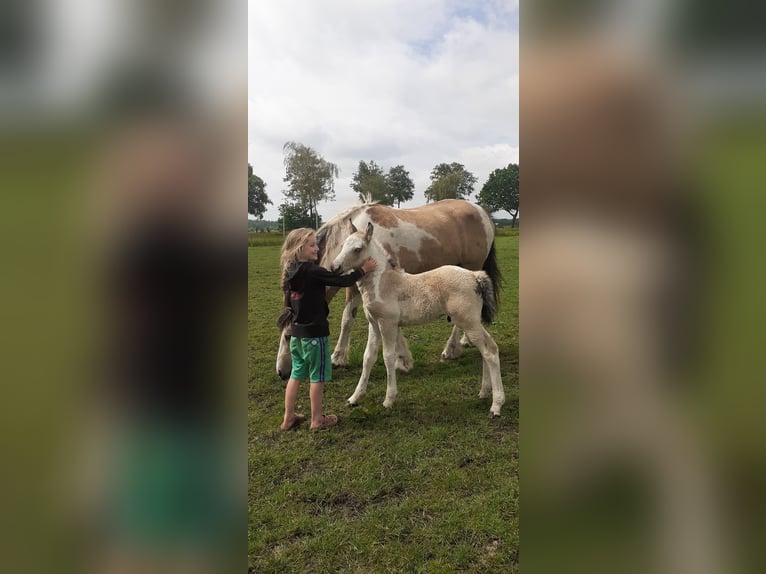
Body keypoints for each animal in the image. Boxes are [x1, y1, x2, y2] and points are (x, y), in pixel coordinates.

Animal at [275, 199, 501, 380]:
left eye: (288, 336)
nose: (281, 372)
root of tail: (482, 212)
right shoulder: (355, 285)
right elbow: (349, 319)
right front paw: (340, 357)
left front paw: (400, 360)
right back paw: (465, 341)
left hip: (468, 273)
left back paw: (451, 350)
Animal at [330, 220, 505, 416]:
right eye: (343, 245)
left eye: (358, 249)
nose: (334, 267)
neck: (383, 283)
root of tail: (475, 276)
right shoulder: (374, 324)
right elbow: (368, 357)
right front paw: (354, 398)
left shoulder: (388, 324)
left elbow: (388, 356)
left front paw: (389, 399)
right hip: (472, 322)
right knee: (488, 349)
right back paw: (484, 392)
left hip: (468, 322)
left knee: (489, 351)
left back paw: (496, 405)